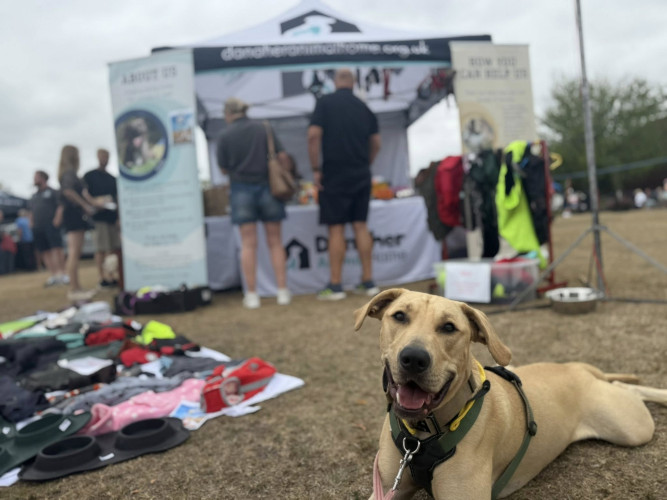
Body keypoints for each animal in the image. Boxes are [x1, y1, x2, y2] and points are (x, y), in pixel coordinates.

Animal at [354, 289, 667, 499]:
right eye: (399, 316)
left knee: (628, 392)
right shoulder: (387, 488)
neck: (421, 437)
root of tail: (577, 369)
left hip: (631, 427)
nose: (414, 358)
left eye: (449, 327)